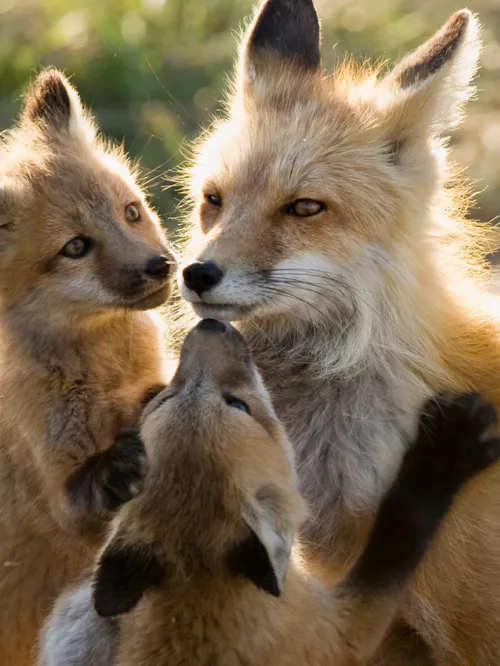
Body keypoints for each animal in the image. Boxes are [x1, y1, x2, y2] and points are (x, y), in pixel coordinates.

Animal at [0, 68, 174, 664]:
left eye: (131, 211)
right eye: (75, 247)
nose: (163, 266)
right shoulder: (59, 497)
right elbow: (89, 492)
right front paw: (125, 458)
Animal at [40, 320, 500, 664]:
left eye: (163, 402)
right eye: (238, 405)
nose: (210, 323)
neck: (199, 591)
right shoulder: (345, 629)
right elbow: (399, 534)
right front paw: (443, 456)